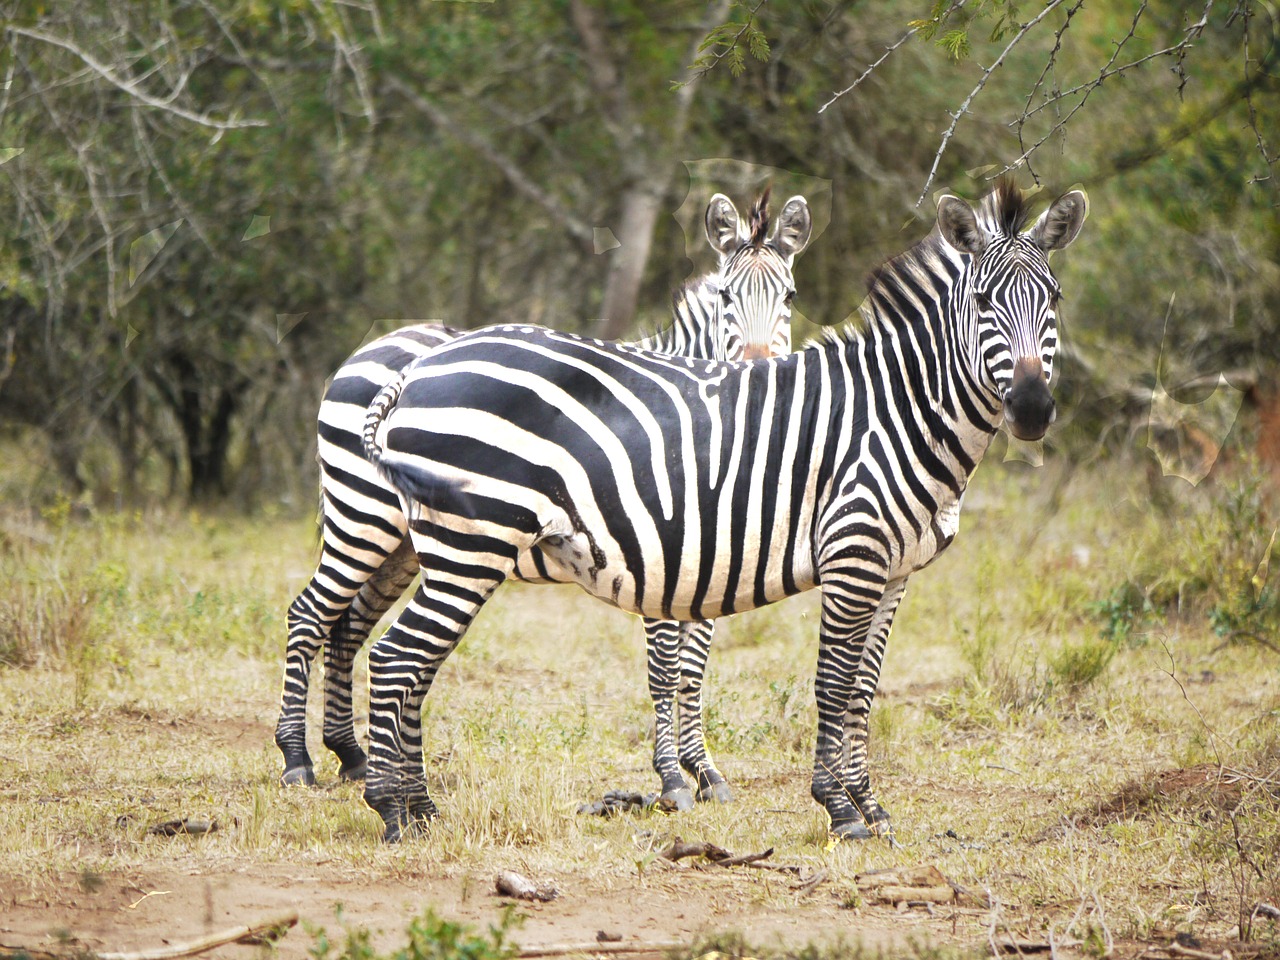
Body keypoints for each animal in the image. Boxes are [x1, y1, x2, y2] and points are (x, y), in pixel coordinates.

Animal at [271, 189, 814, 814]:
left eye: (790, 296)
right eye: (726, 296)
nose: (756, 366)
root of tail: (376, 344)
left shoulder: (715, 555)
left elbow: (693, 670)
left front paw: (704, 771)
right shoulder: (662, 545)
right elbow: (665, 667)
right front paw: (672, 780)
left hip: (408, 542)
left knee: (349, 623)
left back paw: (352, 755)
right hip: (361, 514)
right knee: (310, 613)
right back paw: (297, 760)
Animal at [360, 180, 1090, 839]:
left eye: (1054, 299)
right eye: (983, 302)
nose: (1032, 409)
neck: (900, 409)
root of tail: (422, 362)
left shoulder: (895, 571)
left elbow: (862, 689)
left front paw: (872, 807)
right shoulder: (851, 554)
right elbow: (829, 681)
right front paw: (838, 808)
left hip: (434, 548)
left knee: (400, 656)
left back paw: (418, 808)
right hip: (461, 541)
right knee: (394, 656)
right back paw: (393, 810)